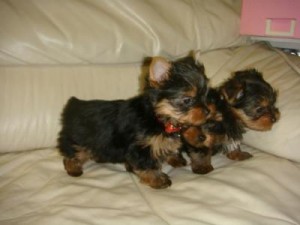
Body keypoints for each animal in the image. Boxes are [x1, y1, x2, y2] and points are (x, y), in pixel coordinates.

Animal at [57, 55, 210, 188]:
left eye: (205, 96)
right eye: (187, 100)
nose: (208, 111)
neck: (158, 117)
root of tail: (74, 105)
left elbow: (166, 147)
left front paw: (174, 158)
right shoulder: (140, 147)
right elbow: (147, 164)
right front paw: (158, 179)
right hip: (77, 138)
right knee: (72, 153)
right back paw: (73, 168)